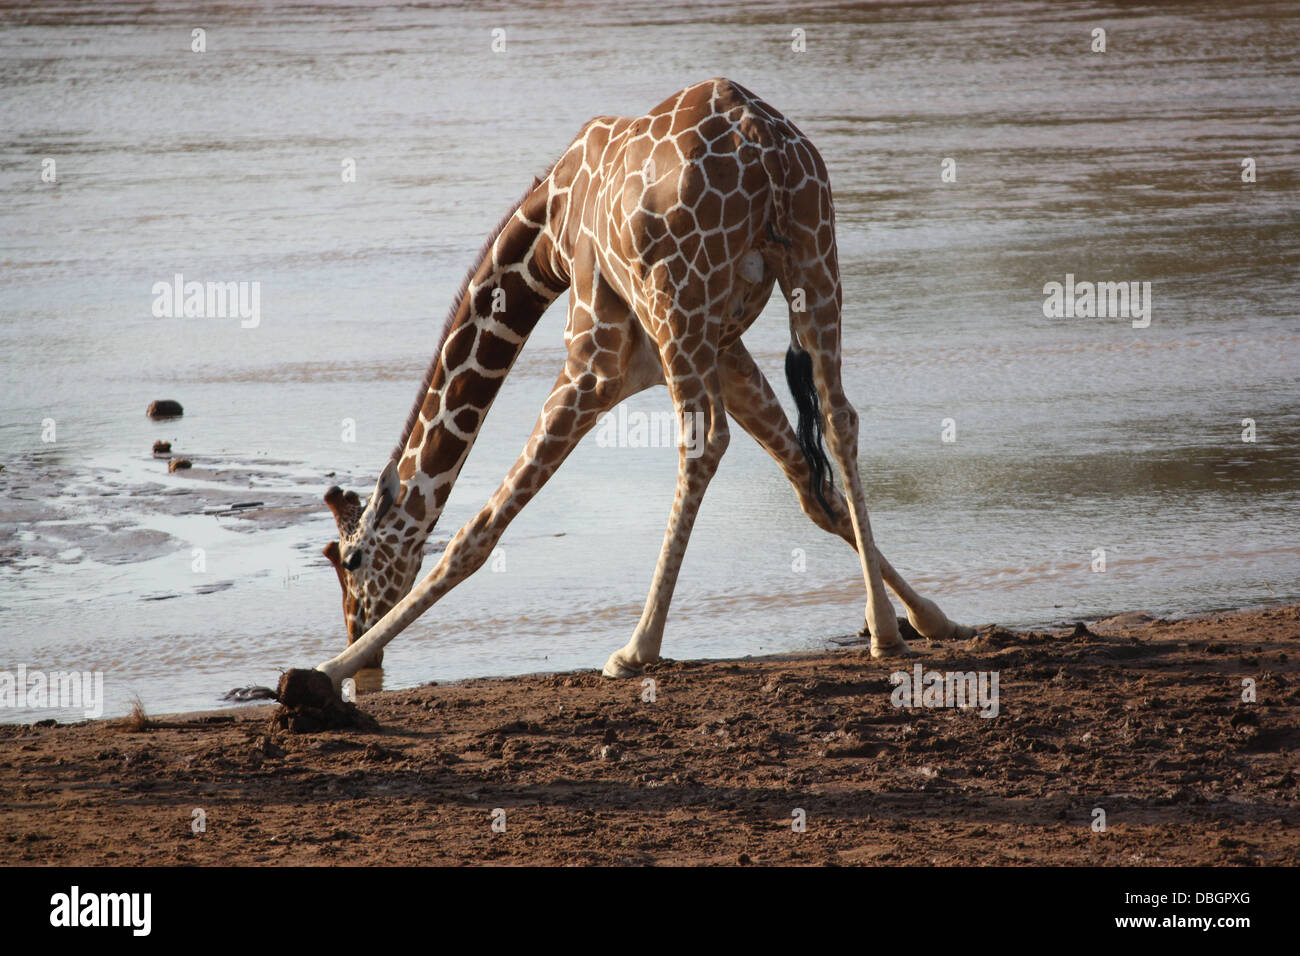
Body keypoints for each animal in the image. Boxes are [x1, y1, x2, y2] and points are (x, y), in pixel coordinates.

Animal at [314, 74, 972, 686]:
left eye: (351, 559)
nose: (357, 625)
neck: (550, 233)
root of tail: (764, 148)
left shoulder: (595, 357)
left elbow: (476, 532)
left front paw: (331, 666)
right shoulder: (725, 350)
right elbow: (814, 491)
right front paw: (929, 617)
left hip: (681, 306)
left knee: (705, 445)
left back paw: (637, 647)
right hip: (814, 263)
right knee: (839, 419)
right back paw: (884, 633)